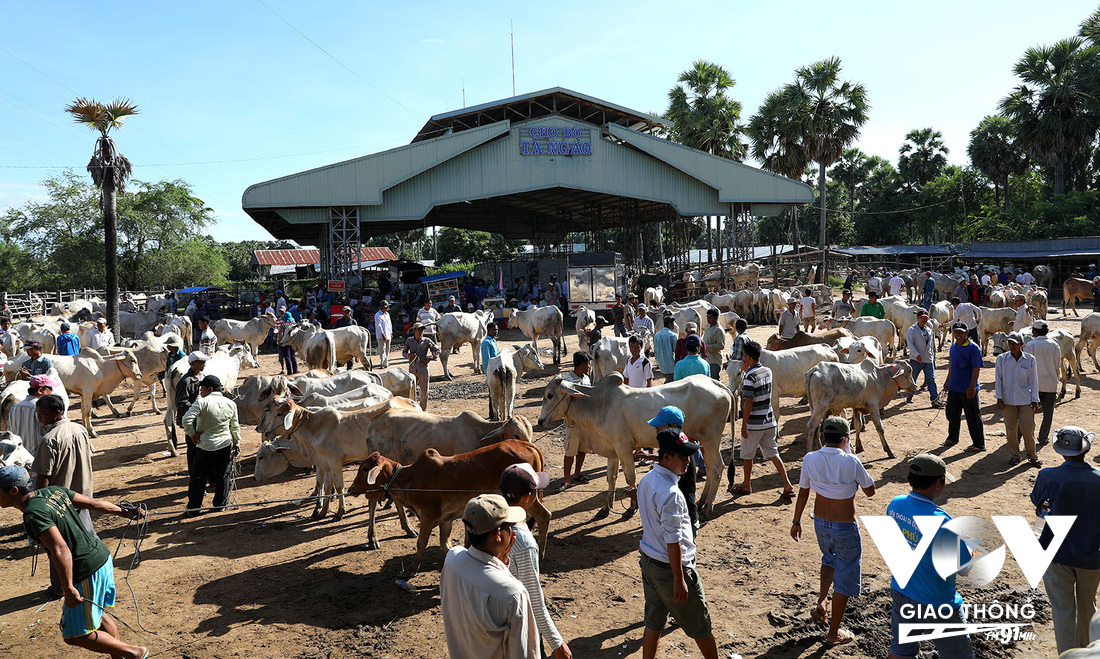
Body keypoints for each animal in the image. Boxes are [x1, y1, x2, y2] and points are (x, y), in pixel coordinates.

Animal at [347, 444, 550, 576]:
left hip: (527, 498)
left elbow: (421, 543)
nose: (350, 489)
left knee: (544, 516)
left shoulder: (428, 516)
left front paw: (411, 570)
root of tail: (529, 446)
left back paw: (540, 555)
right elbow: (446, 545)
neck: (410, 478)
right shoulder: (446, 519)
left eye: (365, 469)